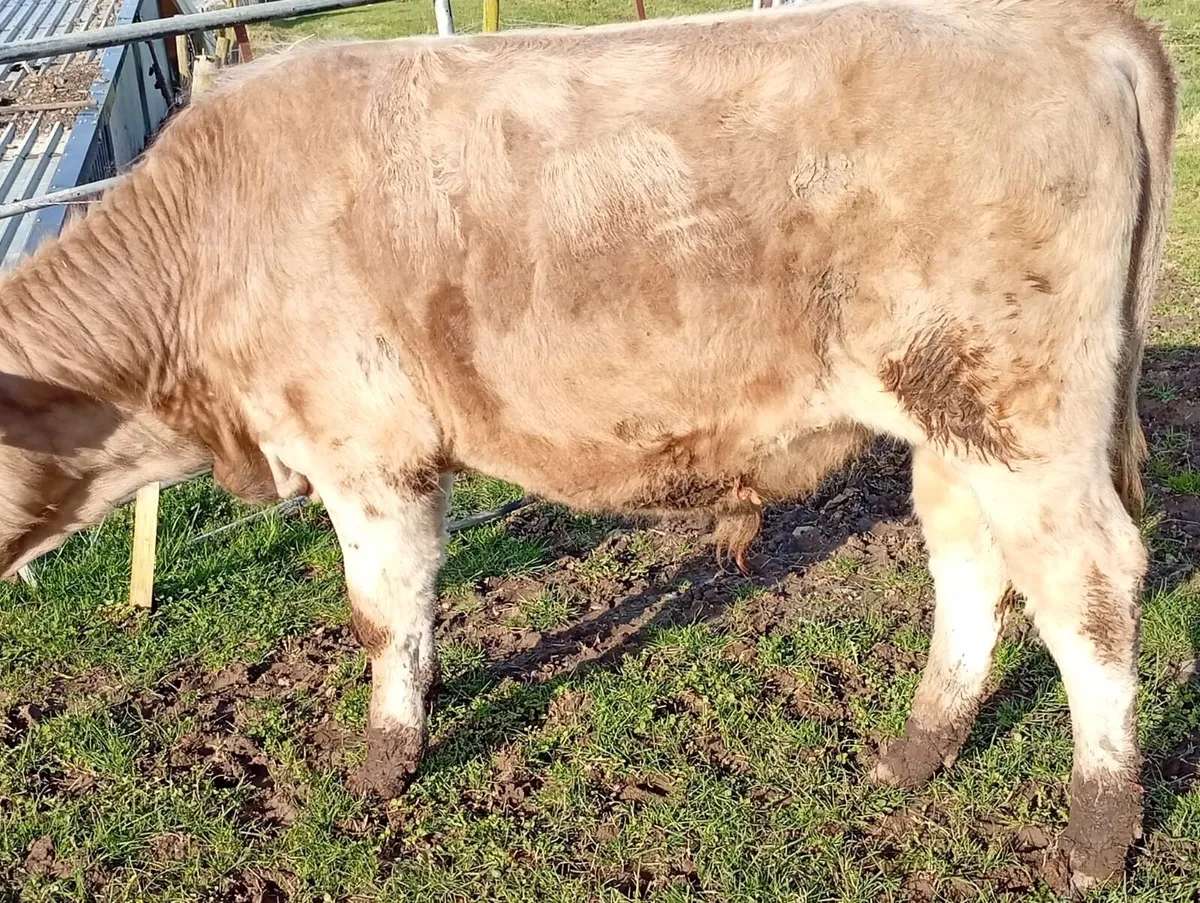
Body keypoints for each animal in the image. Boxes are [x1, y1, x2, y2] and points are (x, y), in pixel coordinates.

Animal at [0, 0, 1177, 891]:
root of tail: (1067, 23)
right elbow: (416, 605)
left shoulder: (365, 448)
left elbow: (379, 612)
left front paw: (383, 764)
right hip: (952, 419)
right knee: (971, 563)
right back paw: (916, 751)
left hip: (1024, 412)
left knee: (1087, 586)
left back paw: (1097, 833)